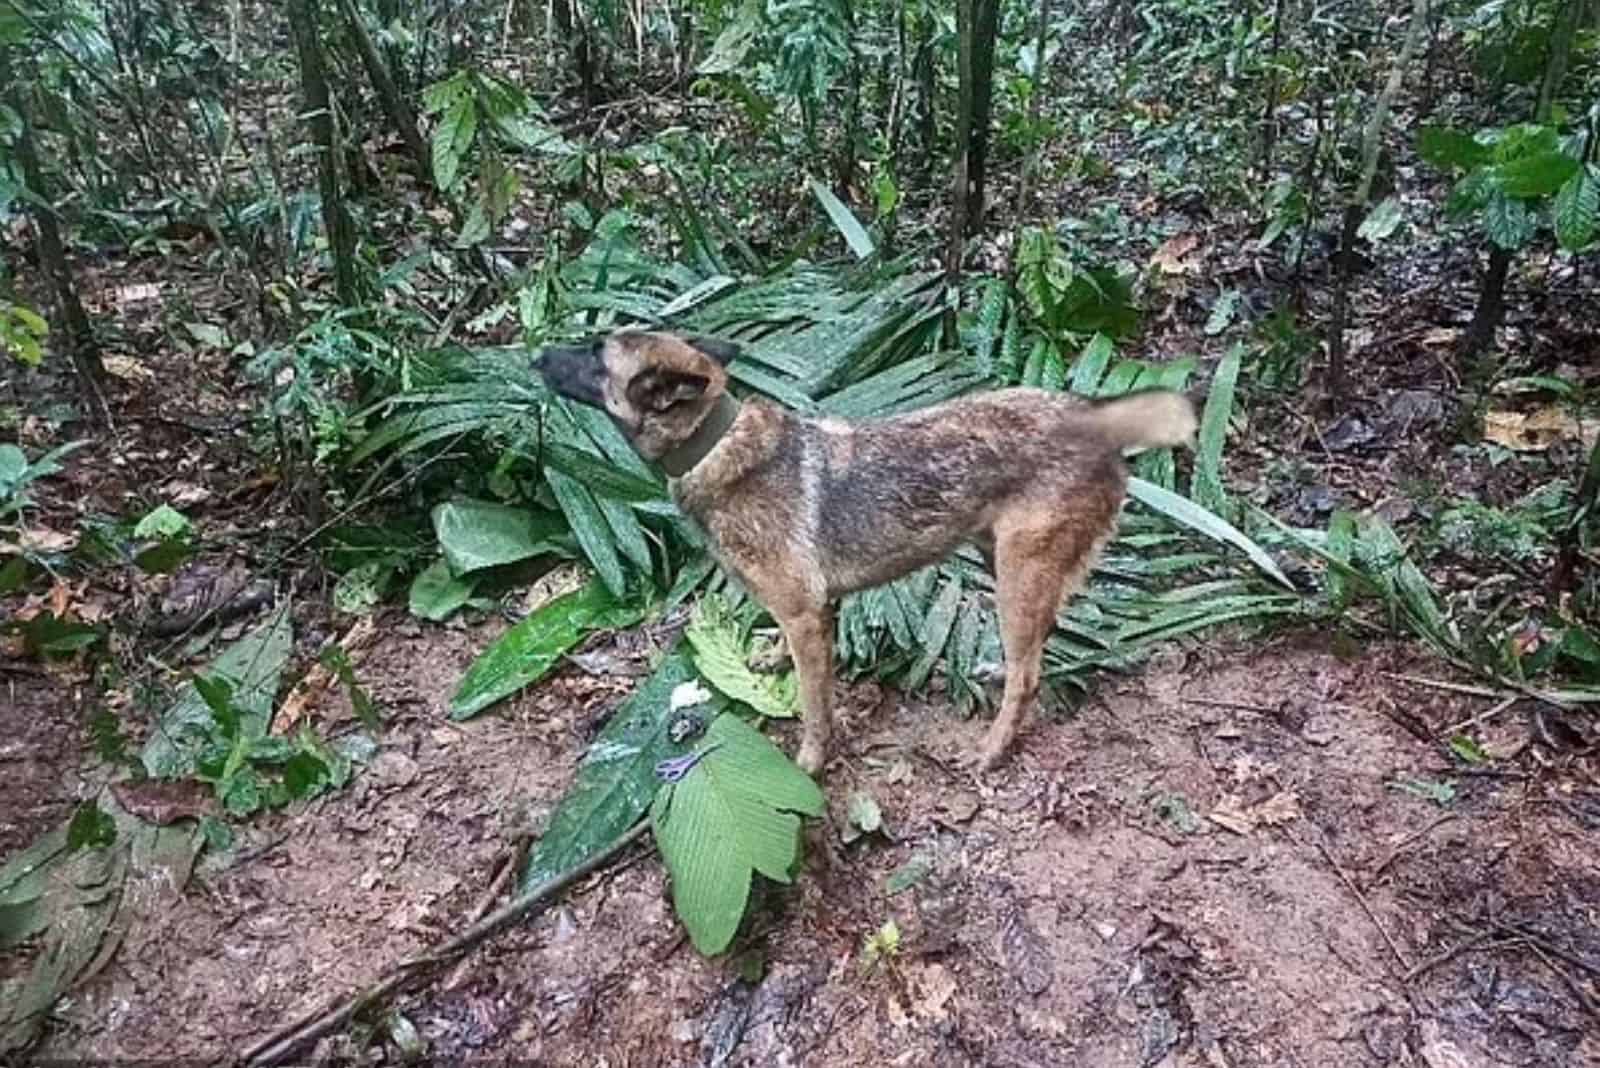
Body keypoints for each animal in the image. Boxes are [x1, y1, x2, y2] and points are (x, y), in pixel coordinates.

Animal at [531, 329, 1196, 770]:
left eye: (595, 354)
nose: (534, 353)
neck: (715, 443)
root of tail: (1094, 419)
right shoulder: (808, 614)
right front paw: (772, 660)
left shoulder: (806, 614)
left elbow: (814, 706)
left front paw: (810, 762)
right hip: (1000, 560)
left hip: (1018, 573)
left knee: (1029, 675)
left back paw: (991, 747)